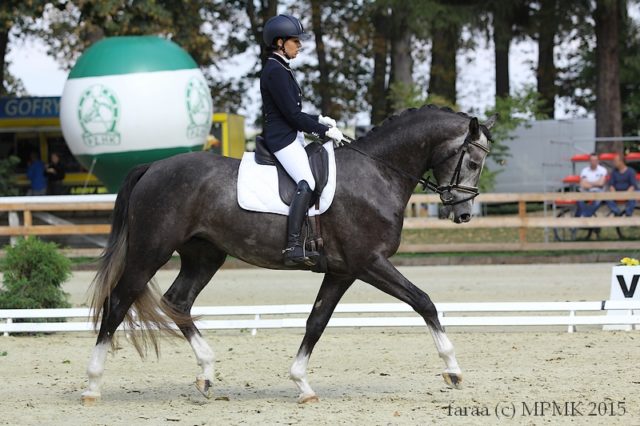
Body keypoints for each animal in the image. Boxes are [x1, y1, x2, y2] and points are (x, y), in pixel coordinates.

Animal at [81, 105, 496, 404]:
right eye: (473, 162)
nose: (462, 214)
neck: (377, 173)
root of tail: (152, 166)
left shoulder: (342, 271)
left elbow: (317, 321)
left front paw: (302, 384)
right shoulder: (370, 263)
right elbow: (423, 301)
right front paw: (453, 369)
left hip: (205, 256)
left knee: (177, 301)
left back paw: (207, 373)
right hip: (150, 252)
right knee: (118, 302)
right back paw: (92, 386)